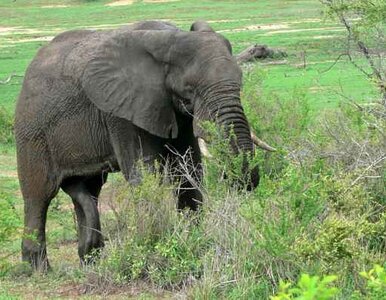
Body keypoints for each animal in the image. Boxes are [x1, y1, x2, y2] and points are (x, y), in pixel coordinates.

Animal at [15, 19, 272, 270]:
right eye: (190, 89)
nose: (238, 183)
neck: (172, 39)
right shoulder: (122, 111)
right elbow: (144, 175)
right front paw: (153, 246)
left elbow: (188, 172)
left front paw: (195, 241)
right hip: (32, 131)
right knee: (39, 194)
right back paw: (38, 268)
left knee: (89, 189)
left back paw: (90, 260)